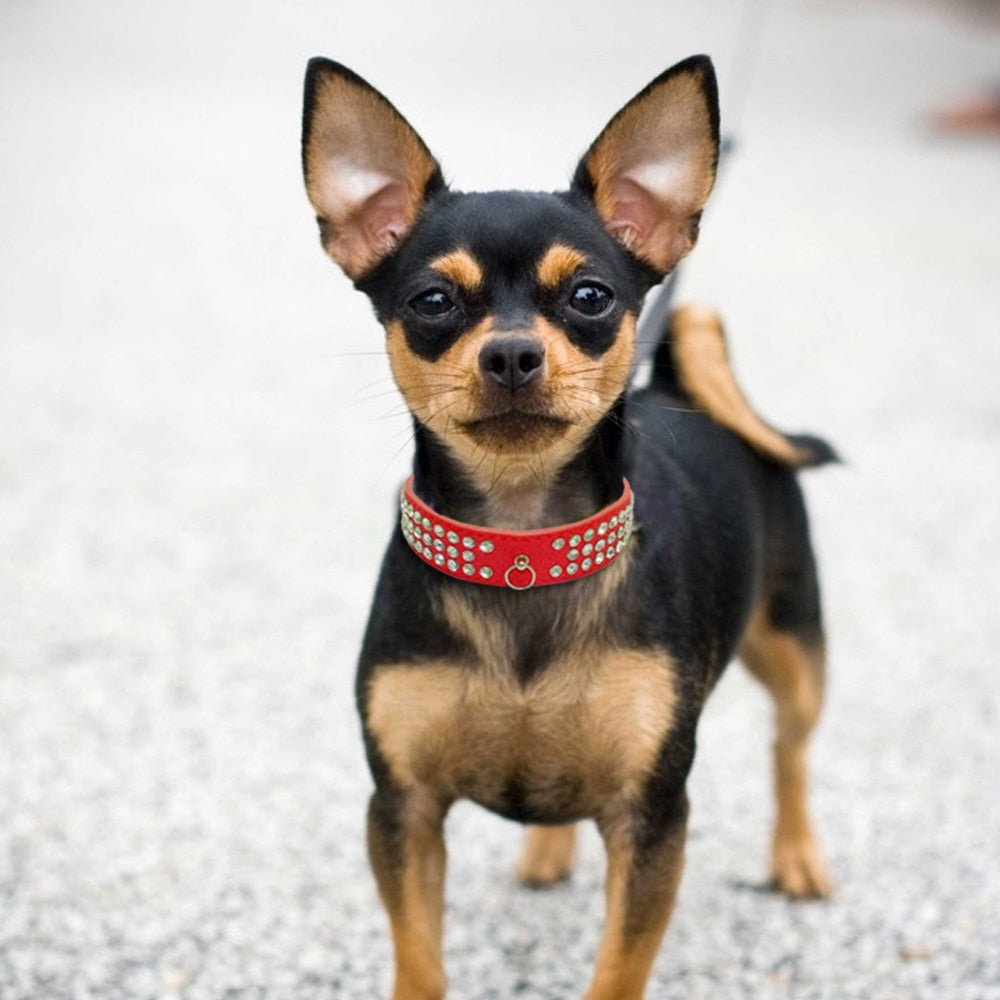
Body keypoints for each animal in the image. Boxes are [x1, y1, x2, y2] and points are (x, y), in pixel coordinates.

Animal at [300, 56, 832, 1000]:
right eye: (432, 300)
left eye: (591, 296)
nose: (512, 352)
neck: (525, 547)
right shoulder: (403, 809)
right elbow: (419, 959)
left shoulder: (652, 817)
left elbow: (618, 967)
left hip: (796, 648)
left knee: (790, 748)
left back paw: (797, 853)